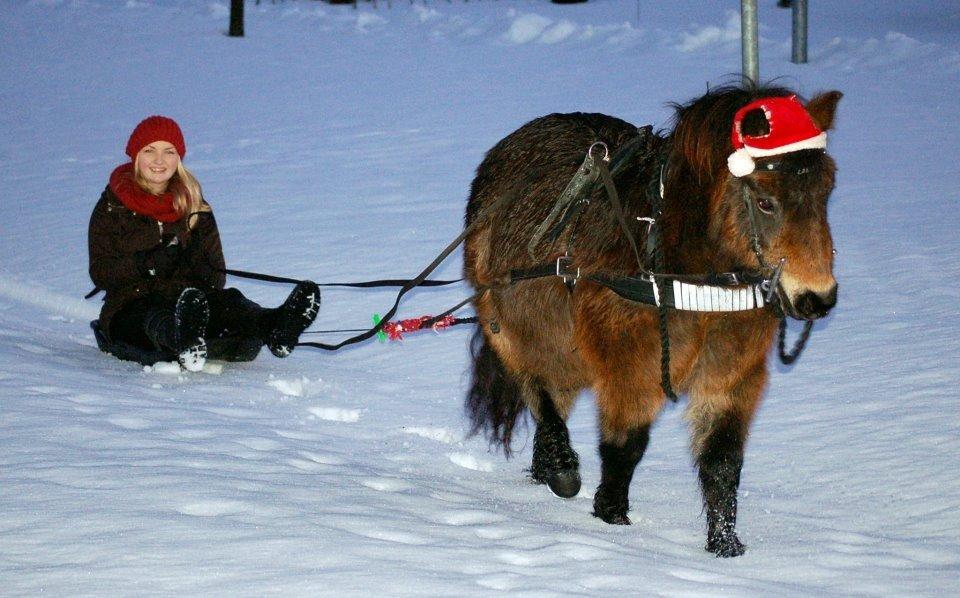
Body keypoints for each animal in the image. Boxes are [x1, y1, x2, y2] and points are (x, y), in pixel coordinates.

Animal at [464, 84, 840, 556]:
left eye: (827, 190)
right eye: (766, 202)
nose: (818, 299)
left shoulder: (732, 377)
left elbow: (722, 460)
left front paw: (726, 547)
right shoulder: (632, 369)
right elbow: (624, 449)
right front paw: (613, 521)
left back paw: (546, 468)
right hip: (515, 329)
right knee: (536, 389)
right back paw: (562, 467)